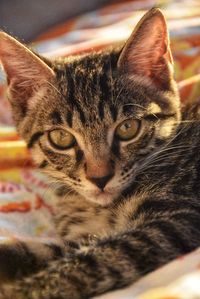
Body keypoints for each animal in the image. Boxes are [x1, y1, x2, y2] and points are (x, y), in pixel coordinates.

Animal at [0, 7, 200, 299]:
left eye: (128, 128)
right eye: (61, 138)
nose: (100, 178)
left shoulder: (178, 219)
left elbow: (94, 261)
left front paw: (24, 291)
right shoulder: (83, 236)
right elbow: (47, 249)